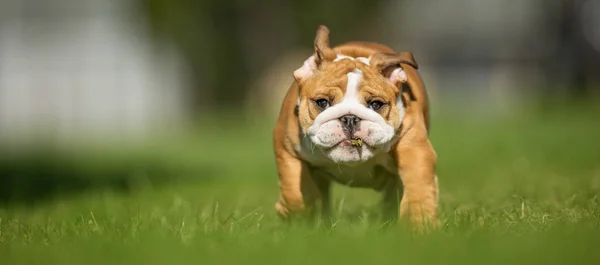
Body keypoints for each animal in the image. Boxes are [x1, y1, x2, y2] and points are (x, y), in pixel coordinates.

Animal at [274, 24, 438, 229]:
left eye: (376, 104)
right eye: (322, 102)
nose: (350, 118)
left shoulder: (414, 148)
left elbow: (418, 188)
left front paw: (419, 226)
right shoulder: (288, 150)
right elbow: (296, 191)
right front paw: (297, 217)